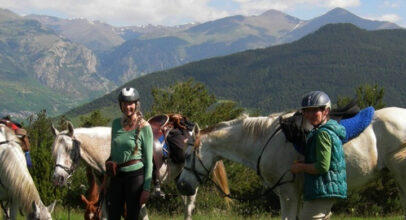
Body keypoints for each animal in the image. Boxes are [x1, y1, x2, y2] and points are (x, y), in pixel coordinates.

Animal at [50, 122, 228, 220]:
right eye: (54, 151)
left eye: (69, 149)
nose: (58, 178)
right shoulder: (108, 194)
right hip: (181, 179)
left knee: (189, 207)